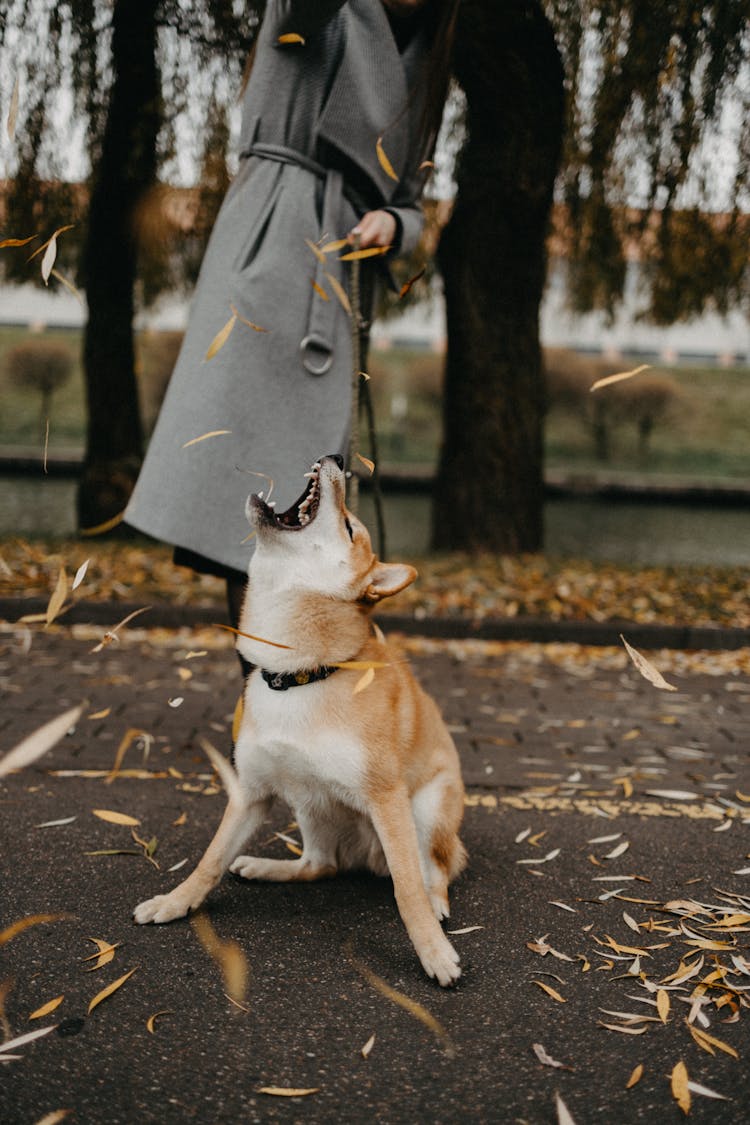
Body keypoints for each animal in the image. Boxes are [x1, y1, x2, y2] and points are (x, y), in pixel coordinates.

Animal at [132, 452, 465, 981]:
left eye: (350, 527)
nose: (338, 458)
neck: (300, 675)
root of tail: (365, 856)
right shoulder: (250, 792)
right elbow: (210, 859)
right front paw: (175, 902)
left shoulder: (387, 799)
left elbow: (407, 889)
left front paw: (432, 952)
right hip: (310, 804)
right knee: (319, 865)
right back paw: (265, 867)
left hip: (426, 810)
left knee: (434, 871)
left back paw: (437, 905)